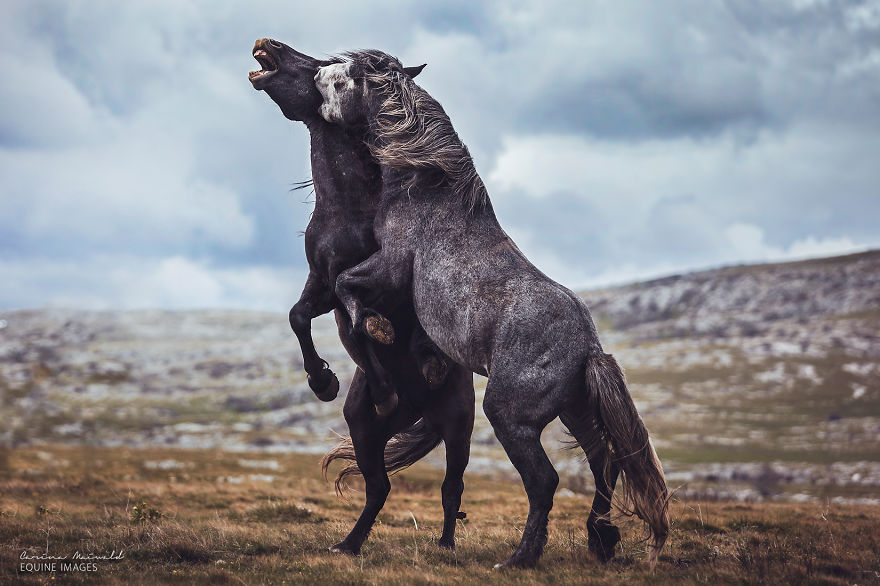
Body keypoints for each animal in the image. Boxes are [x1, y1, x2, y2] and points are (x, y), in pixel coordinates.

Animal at [249, 39, 475, 554]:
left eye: (316, 65)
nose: (269, 44)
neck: (347, 210)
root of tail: (420, 411)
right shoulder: (321, 284)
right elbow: (301, 317)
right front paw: (324, 382)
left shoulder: (383, 283)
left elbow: (366, 324)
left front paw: (386, 376)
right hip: (364, 429)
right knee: (380, 487)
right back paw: (349, 544)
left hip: (459, 426)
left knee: (451, 489)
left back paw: (446, 545)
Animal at [314, 50, 670, 569]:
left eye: (351, 75)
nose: (318, 78)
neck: (427, 187)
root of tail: (589, 349)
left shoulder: (392, 264)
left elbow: (346, 285)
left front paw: (377, 328)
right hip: (576, 412)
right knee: (603, 463)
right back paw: (599, 539)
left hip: (510, 417)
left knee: (545, 481)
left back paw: (521, 558)